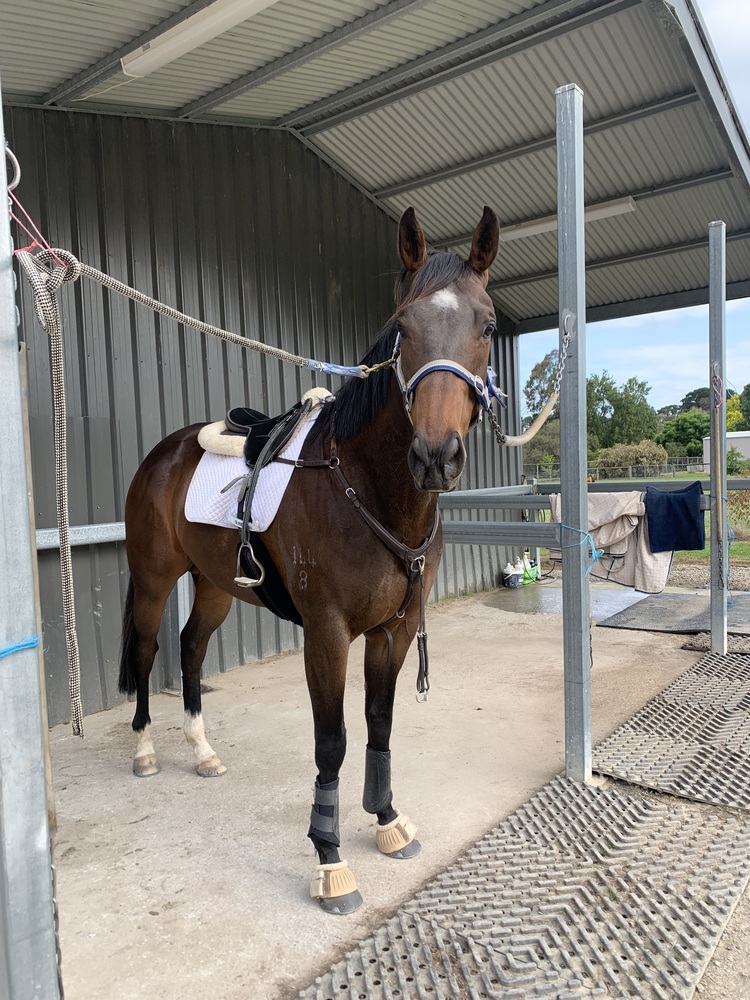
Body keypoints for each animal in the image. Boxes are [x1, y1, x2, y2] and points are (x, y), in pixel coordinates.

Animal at [118, 205, 500, 913]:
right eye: (401, 328)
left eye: (486, 325)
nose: (435, 456)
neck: (365, 486)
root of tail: (162, 454)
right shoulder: (327, 632)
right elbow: (334, 739)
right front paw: (329, 858)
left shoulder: (395, 629)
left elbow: (379, 722)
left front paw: (387, 819)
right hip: (154, 580)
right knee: (150, 650)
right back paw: (146, 750)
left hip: (216, 584)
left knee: (190, 648)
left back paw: (202, 749)